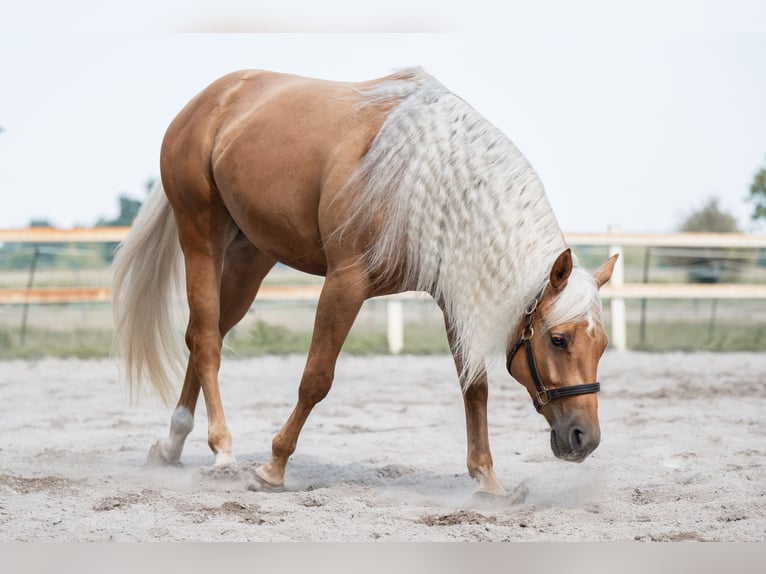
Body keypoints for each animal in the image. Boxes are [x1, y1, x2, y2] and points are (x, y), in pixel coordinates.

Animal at [112, 68, 617, 496]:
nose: (586, 438)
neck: (426, 180)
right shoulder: (345, 284)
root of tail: (211, 98)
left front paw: (488, 481)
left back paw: (172, 443)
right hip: (200, 239)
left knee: (203, 336)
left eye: (602, 344)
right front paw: (273, 468)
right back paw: (221, 450)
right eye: (557, 339)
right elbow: (316, 378)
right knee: (207, 341)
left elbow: (474, 386)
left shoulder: (453, 298)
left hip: (250, 258)